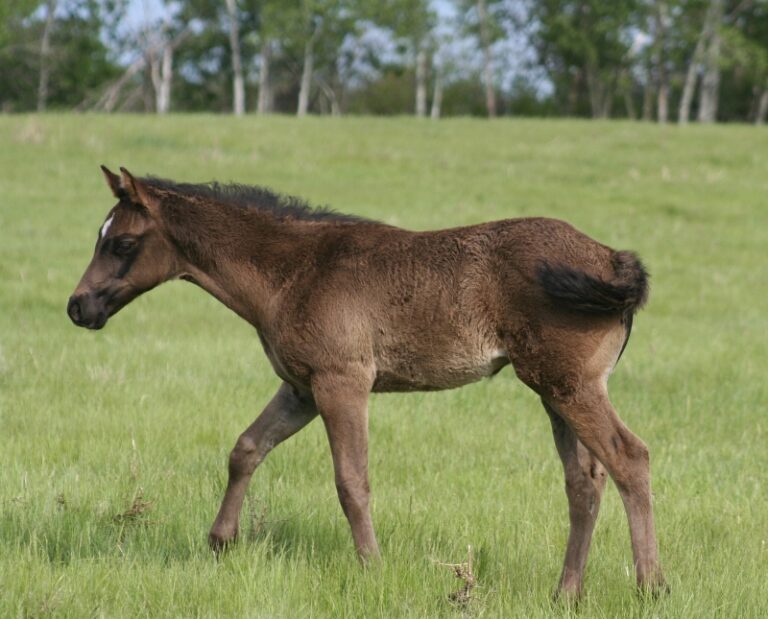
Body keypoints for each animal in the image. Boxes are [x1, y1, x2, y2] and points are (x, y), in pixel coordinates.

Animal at [67, 167, 664, 600]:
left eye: (122, 243)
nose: (78, 307)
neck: (295, 273)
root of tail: (614, 261)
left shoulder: (342, 383)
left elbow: (352, 482)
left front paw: (372, 569)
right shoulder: (301, 389)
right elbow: (246, 449)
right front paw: (220, 542)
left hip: (568, 385)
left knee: (628, 457)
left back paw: (651, 587)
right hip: (553, 390)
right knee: (585, 481)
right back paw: (566, 593)